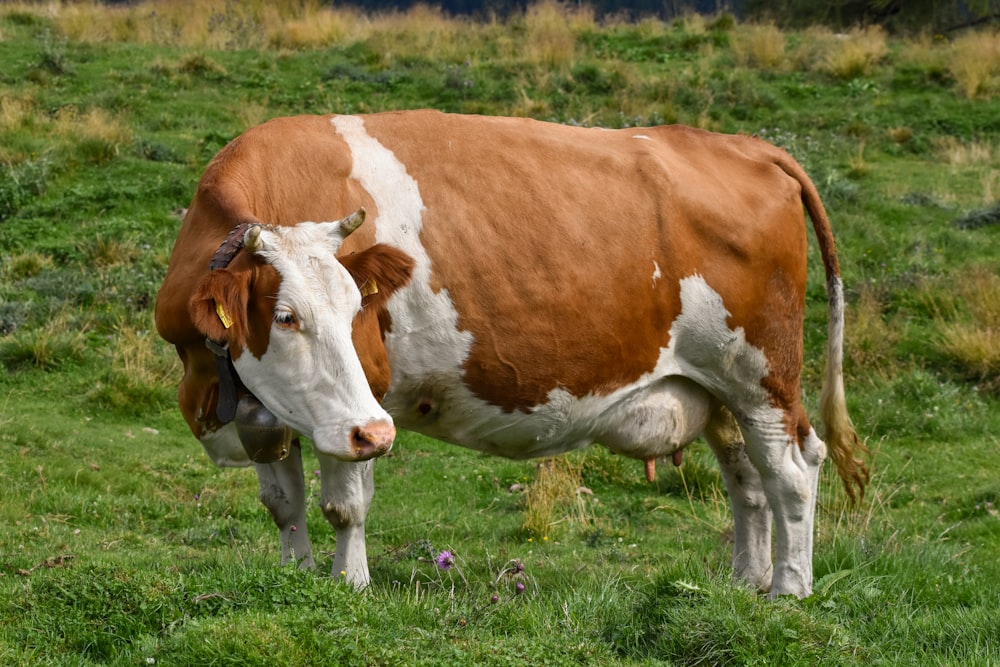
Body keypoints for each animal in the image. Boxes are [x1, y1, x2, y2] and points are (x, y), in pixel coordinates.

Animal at [156, 109, 868, 600]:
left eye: (360, 307)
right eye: (285, 316)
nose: (375, 433)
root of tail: (743, 145)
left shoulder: (366, 398)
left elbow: (344, 503)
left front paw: (349, 585)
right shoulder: (274, 408)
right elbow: (283, 503)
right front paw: (298, 577)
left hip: (761, 375)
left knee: (791, 470)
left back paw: (788, 591)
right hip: (718, 390)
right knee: (746, 480)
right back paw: (745, 583)